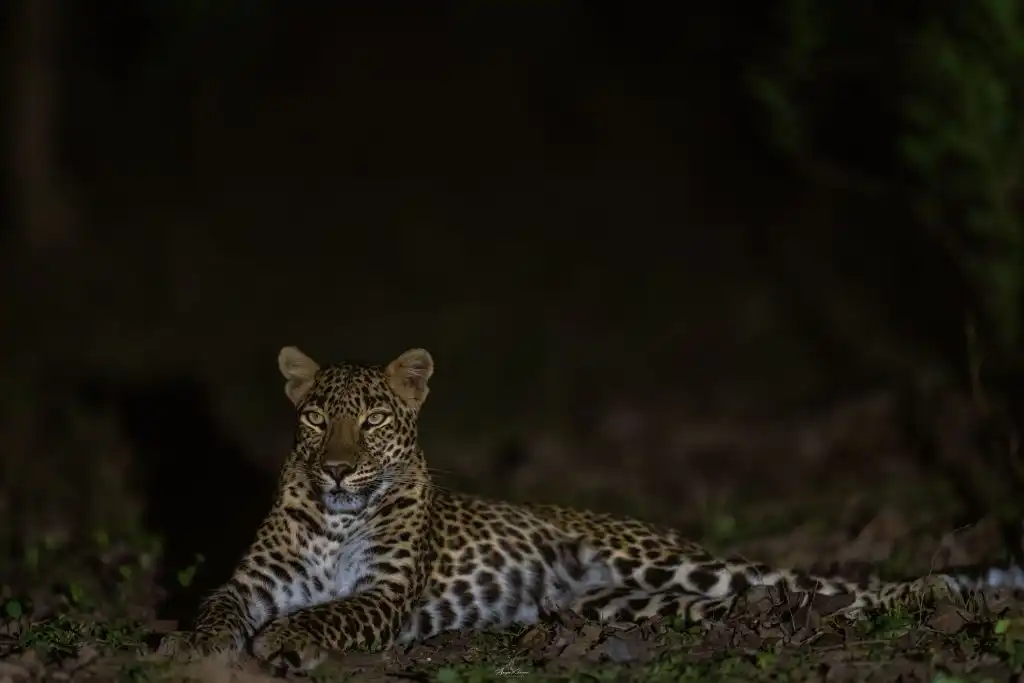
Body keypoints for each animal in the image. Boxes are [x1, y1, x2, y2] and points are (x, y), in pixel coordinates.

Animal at [159, 346, 1023, 674]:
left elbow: (328, 611)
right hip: (636, 605)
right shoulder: (255, 579)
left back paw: (943, 593)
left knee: (829, 585)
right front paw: (192, 646)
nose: (337, 469)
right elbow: (216, 603)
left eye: (370, 422)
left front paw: (285, 641)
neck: (340, 515)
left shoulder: (383, 593)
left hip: (680, 561)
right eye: (314, 420)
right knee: (790, 598)